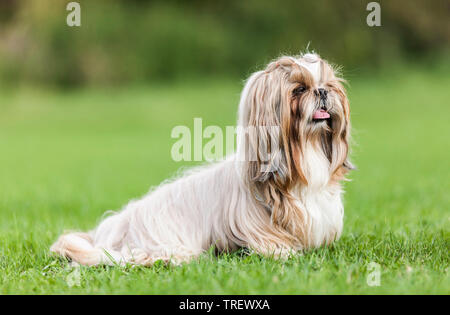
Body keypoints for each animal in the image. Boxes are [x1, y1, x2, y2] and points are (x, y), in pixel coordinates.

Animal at [51, 53, 354, 266]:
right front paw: (286, 253)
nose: (322, 92)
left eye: (327, 85)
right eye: (299, 89)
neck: (305, 153)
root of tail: (110, 231)